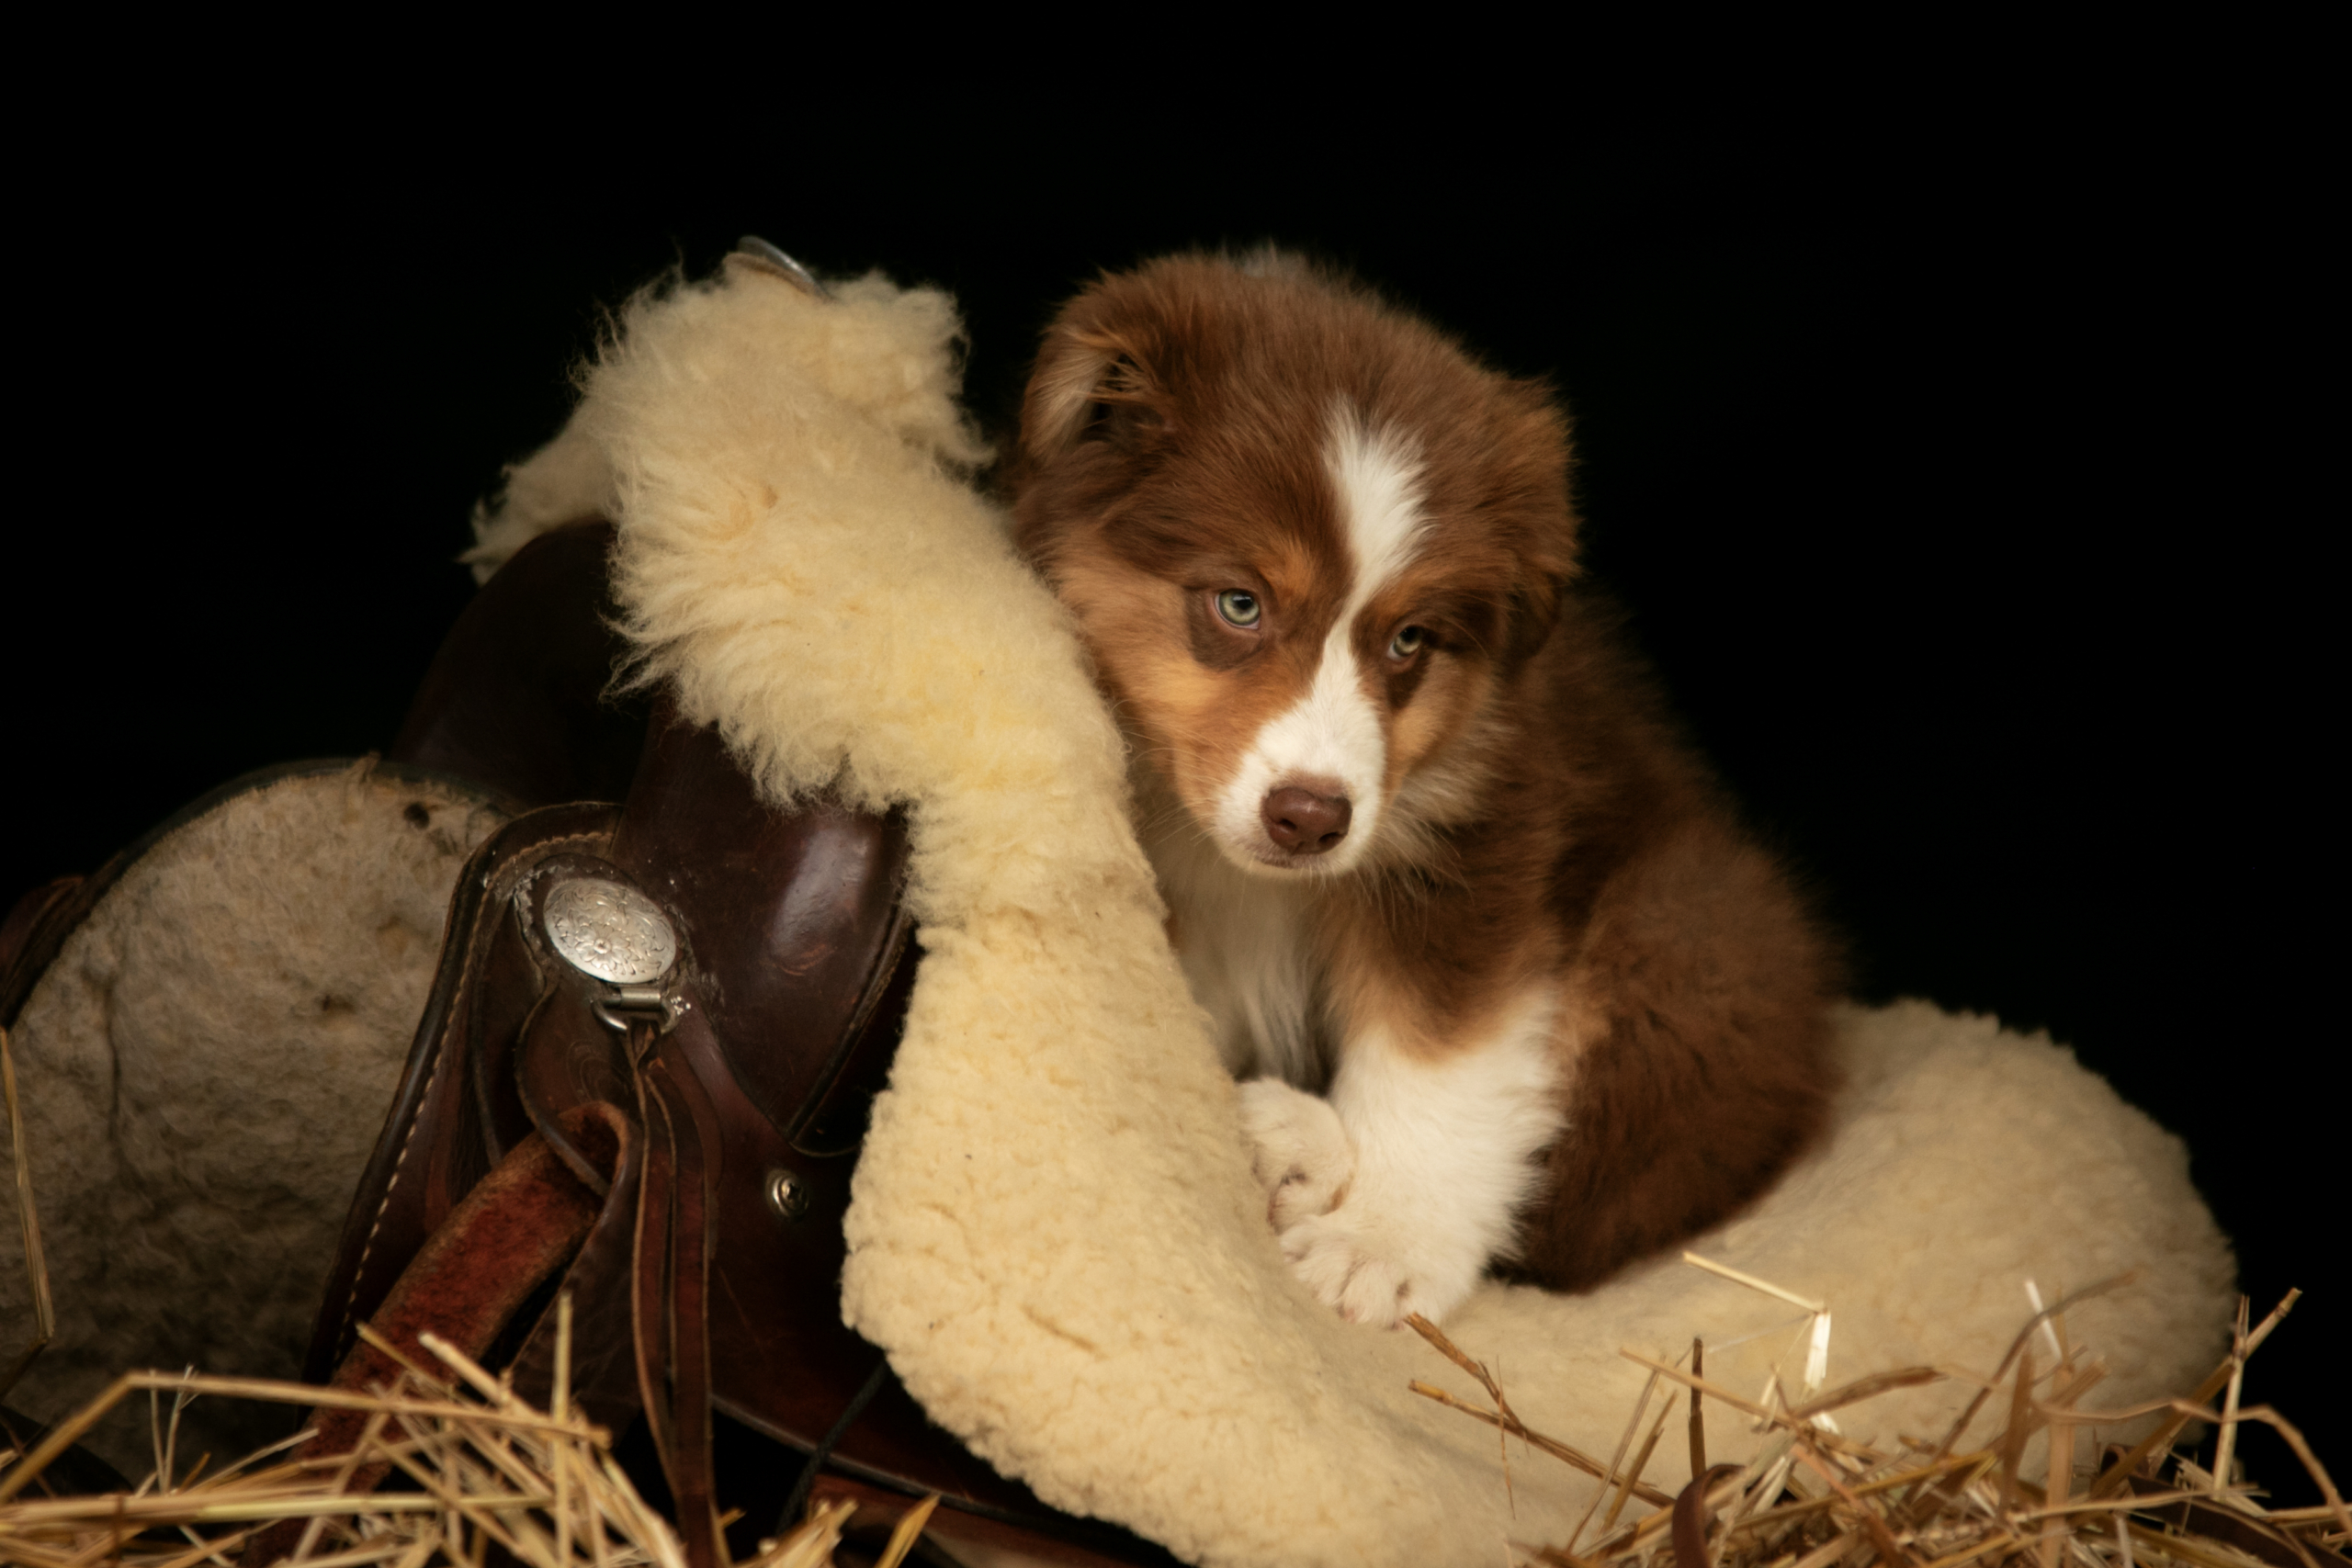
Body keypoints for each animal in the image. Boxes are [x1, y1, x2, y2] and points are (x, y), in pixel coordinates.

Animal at [1001, 254, 1844, 1325]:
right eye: (1239, 604)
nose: (1310, 819)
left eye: (1409, 641)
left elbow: (1442, 1058)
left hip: (1689, 926)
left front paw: (1382, 1244)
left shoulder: (1475, 840)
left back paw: (1293, 1139)